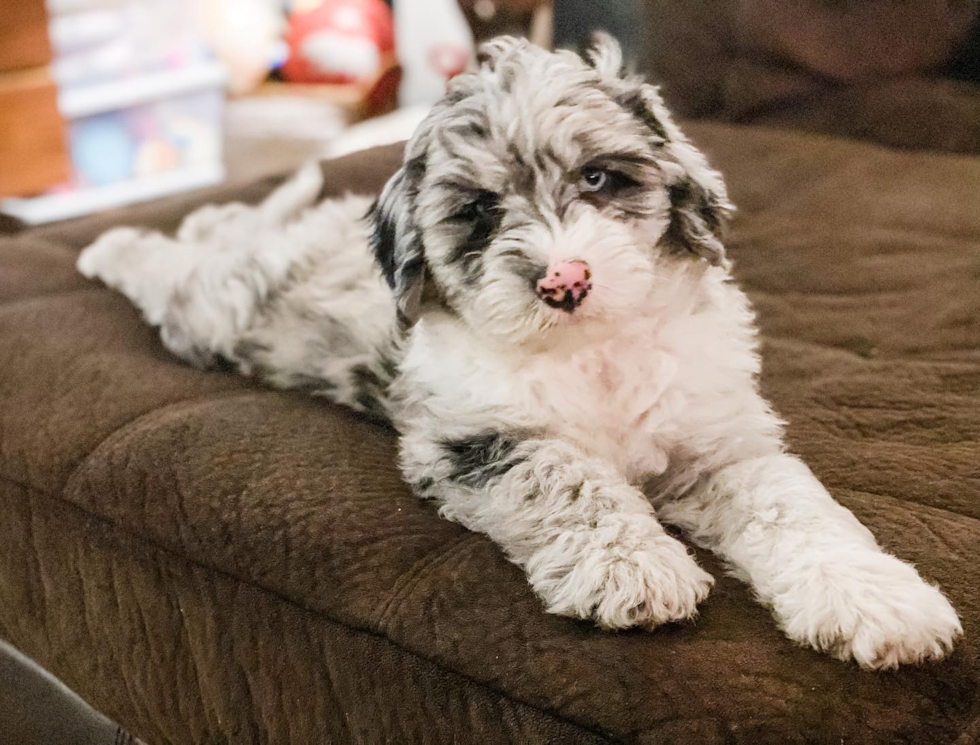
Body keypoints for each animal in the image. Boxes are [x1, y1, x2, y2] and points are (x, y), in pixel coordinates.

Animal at [80, 33, 960, 668]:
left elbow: (796, 506)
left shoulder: (719, 443)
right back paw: (106, 244)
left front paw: (876, 599)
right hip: (215, 314)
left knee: (215, 225)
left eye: (600, 178)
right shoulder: (479, 438)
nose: (564, 279)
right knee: (167, 263)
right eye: (479, 211)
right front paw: (632, 568)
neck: (593, 350)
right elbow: (569, 479)